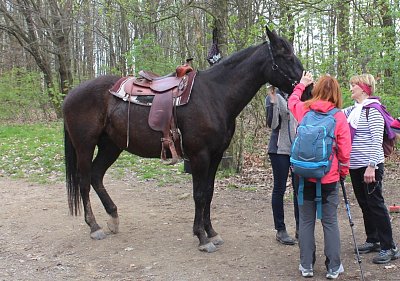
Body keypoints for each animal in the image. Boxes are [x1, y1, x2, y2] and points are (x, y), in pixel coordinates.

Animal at [63, 27, 312, 253]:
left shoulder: (215, 156)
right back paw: (94, 226)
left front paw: (212, 232)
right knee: (84, 180)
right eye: (287, 57)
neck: (215, 95)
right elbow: (199, 195)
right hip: (85, 146)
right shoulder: (199, 156)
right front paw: (202, 238)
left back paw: (113, 217)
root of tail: (71, 94)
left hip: (111, 146)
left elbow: (209, 192)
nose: (309, 89)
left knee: (96, 176)